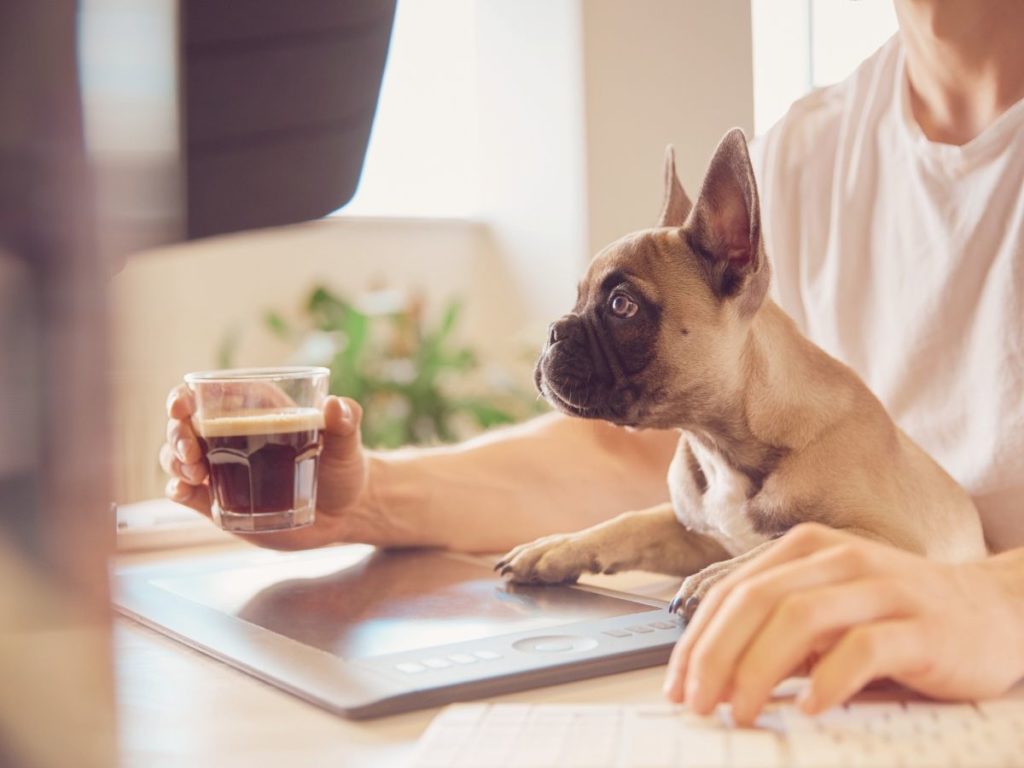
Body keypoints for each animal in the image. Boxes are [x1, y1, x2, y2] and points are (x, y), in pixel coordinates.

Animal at [495, 128, 991, 618]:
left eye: (622, 306)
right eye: (577, 298)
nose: (555, 330)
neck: (720, 441)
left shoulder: (889, 541)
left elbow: (789, 543)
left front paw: (721, 577)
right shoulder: (697, 534)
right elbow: (632, 521)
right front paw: (559, 546)